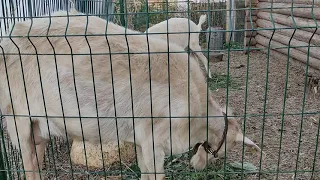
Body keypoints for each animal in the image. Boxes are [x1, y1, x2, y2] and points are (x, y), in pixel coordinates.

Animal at [0, 11, 258, 180]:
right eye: (221, 151)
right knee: (29, 165)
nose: (199, 167)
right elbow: (155, 176)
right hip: (17, 116)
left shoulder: (141, 141)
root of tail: (11, 34)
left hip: (38, 126)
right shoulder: (154, 139)